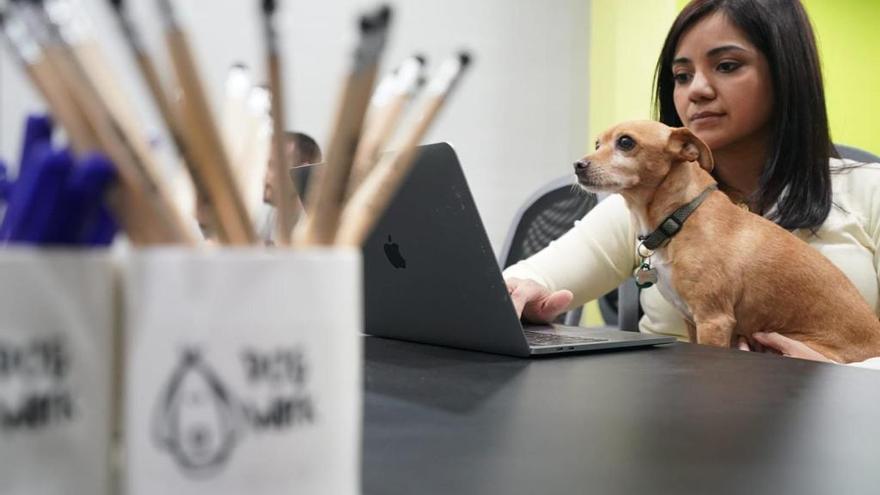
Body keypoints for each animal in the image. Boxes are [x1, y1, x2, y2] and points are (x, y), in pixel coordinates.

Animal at [576, 118, 880, 362]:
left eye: (626, 142)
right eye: (597, 143)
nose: (578, 165)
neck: (680, 216)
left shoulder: (714, 320)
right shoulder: (692, 321)